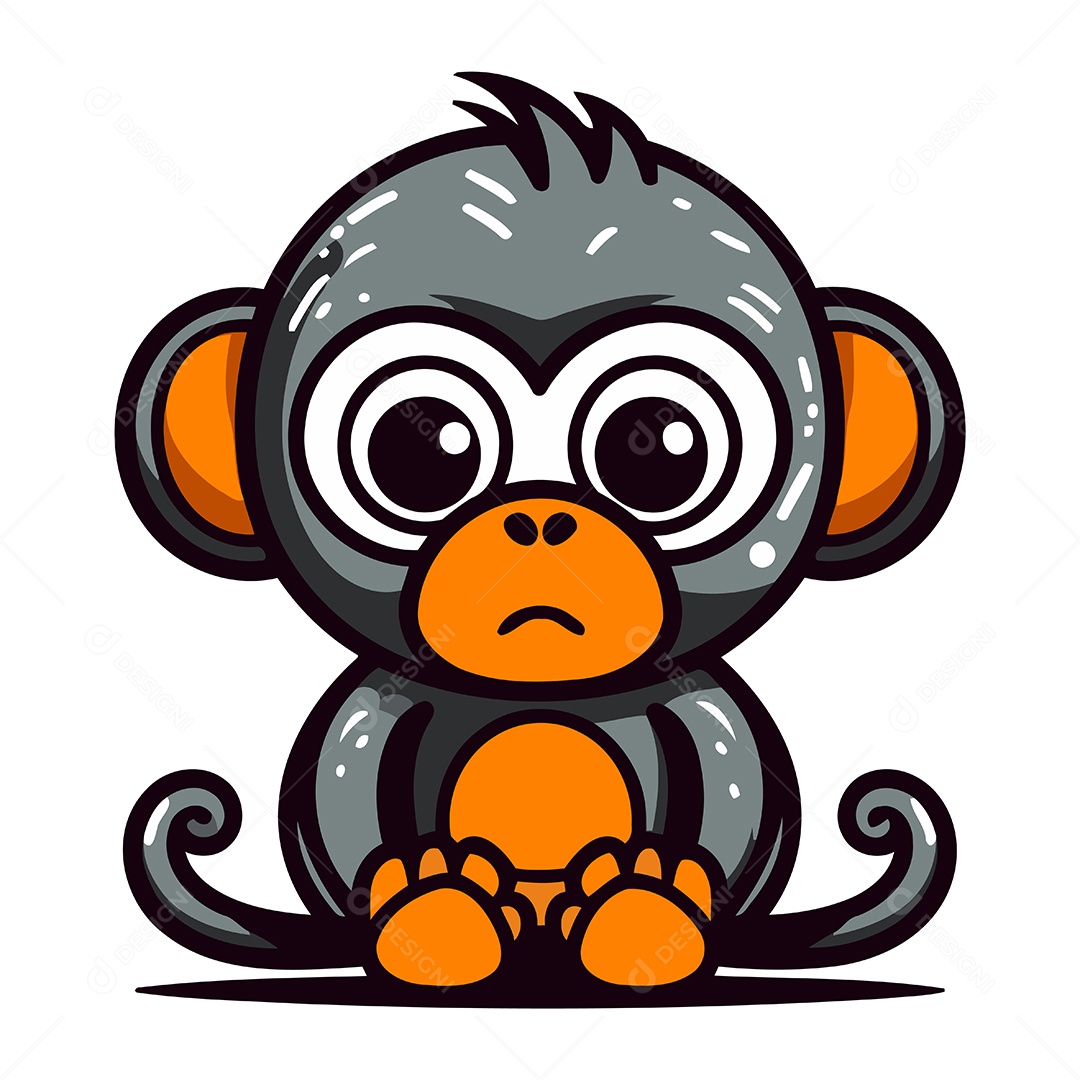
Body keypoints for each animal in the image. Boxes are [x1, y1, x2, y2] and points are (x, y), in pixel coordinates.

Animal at [119, 73, 962, 1004]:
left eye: (660, 444)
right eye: (418, 448)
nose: (540, 519)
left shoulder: (693, 701)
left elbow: (730, 776)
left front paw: (657, 894)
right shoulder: (384, 701)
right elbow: (348, 781)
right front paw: (423, 897)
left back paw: (631, 910)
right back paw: (451, 909)